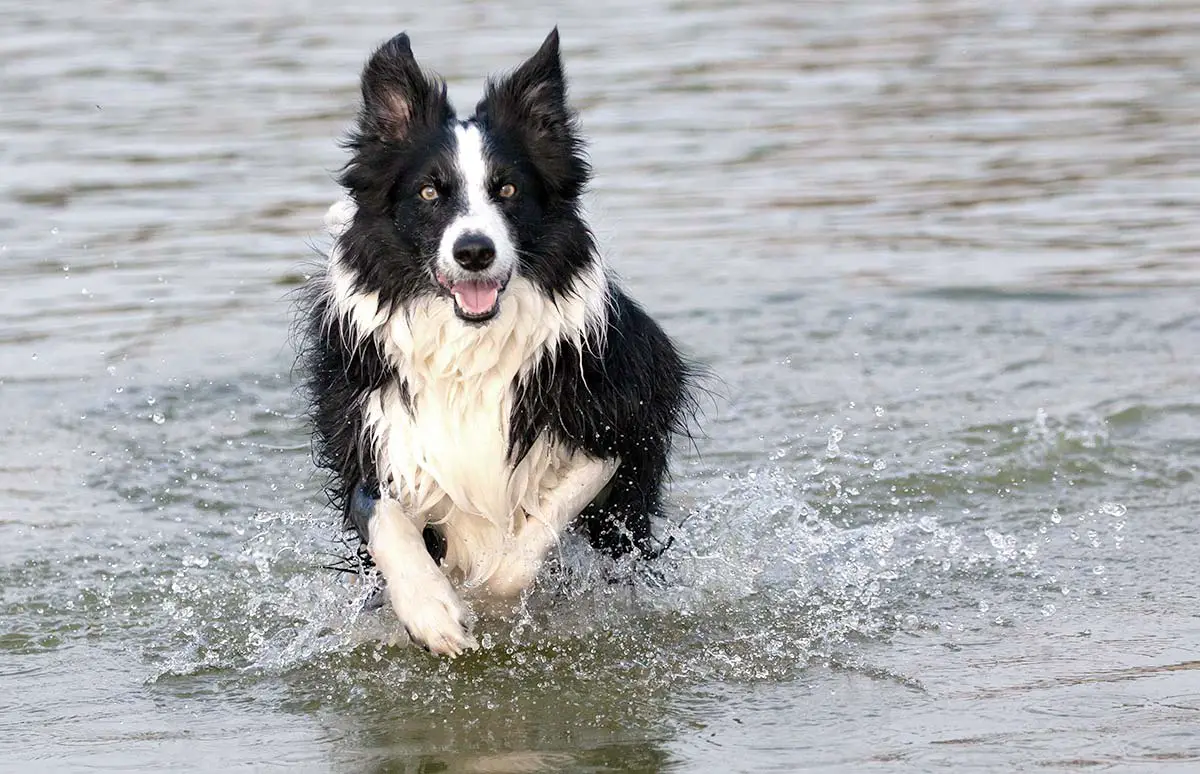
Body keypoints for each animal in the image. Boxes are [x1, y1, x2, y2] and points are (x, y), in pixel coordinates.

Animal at [298, 31, 696, 657]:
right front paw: (431, 611)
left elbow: (537, 529)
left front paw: (488, 598)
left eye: (507, 188)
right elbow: (381, 514)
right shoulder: (370, 430)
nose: (474, 252)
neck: (470, 349)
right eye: (429, 192)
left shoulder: (626, 418)